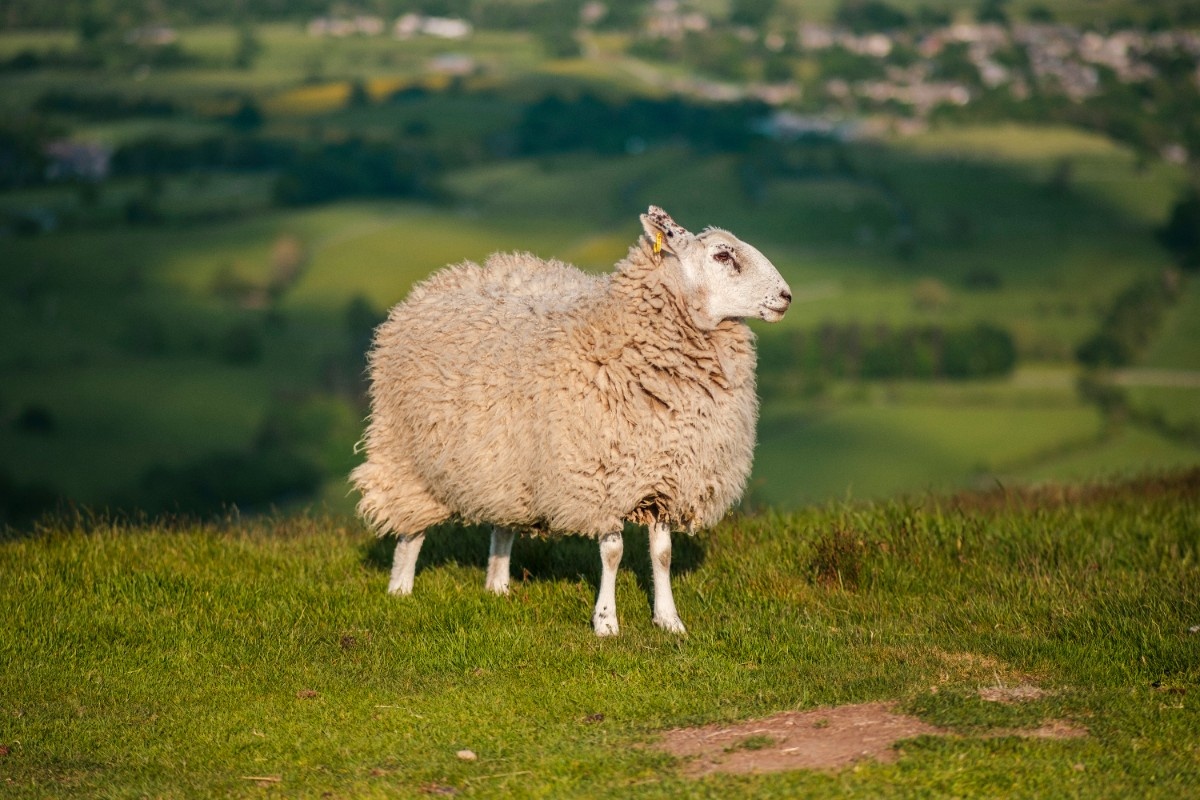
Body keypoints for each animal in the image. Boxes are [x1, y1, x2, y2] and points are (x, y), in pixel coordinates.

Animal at [350, 206, 792, 638]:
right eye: (722, 255)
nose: (786, 296)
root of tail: (442, 279)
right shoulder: (600, 477)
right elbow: (612, 553)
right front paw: (606, 622)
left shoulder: (665, 476)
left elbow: (663, 555)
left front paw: (669, 621)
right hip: (406, 452)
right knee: (410, 527)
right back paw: (400, 590)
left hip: (508, 463)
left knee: (502, 525)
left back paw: (498, 586)